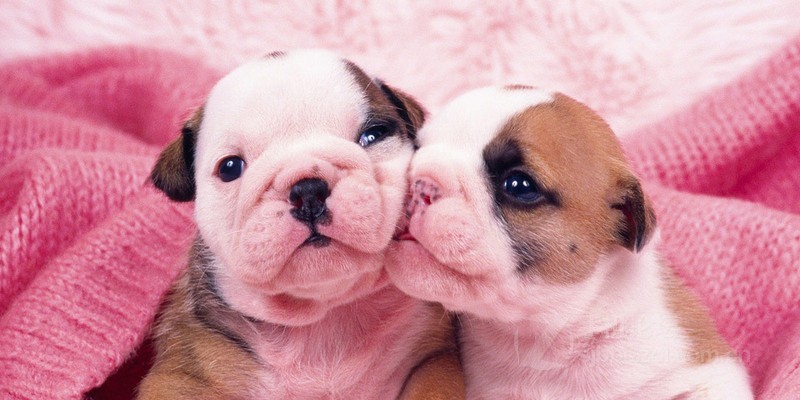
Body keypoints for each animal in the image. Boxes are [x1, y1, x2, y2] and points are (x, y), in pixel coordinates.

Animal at [138, 50, 462, 400]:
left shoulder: (434, 357)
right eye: (230, 167)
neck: (322, 313)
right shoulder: (180, 376)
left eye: (373, 135)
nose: (308, 190)